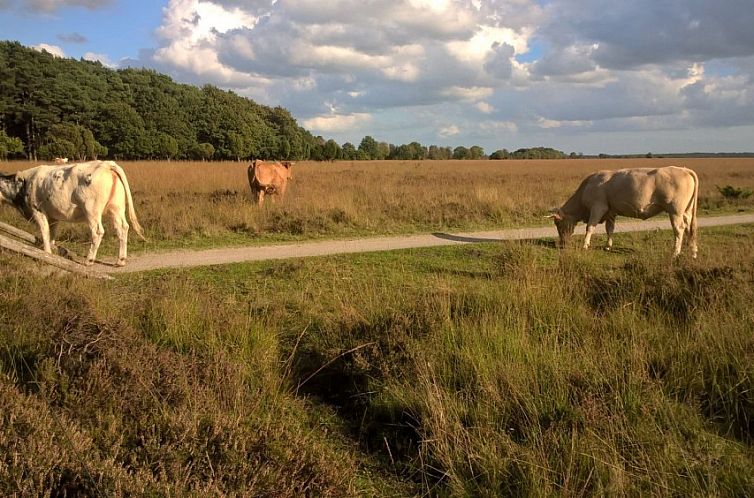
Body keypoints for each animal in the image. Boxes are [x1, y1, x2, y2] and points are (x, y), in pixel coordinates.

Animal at [0, 161, 144, 266]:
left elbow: (45, 232)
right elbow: (52, 233)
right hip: (117, 207)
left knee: (97, 232)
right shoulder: (54, 216)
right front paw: (54, 251)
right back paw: (120, 261)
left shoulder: (38, 211)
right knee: (122, 228)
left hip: (91, 210)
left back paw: (89, 260)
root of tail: (106, 164)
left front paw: (46, 254)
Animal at [548, 167, 700, 258]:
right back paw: (693, 252)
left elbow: (590, 227)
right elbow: (610, 229)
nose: (562, 243)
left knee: (679, 229)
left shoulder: (598, 207)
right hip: (686, 212)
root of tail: (684, 169)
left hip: (675, 211)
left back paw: (675, 253)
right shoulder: (610, 212)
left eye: (558, 224)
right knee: (690, 228)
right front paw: (608, 246)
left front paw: (585, 245)